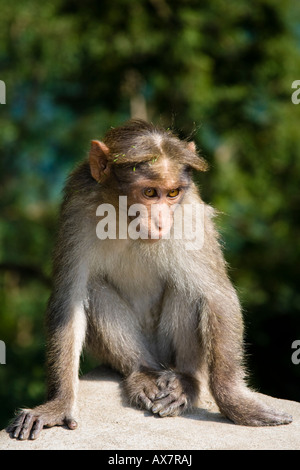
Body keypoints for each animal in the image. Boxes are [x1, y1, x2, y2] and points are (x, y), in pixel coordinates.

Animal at [8, 118, 292, 440]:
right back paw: (141, 372)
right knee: (95, 289)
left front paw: (235, 402)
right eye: (149, 193)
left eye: (172, 194)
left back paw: (186, 381)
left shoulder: (189, 212)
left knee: (188, 288)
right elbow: (69, 300)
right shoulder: (77, 209)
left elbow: (216, 295)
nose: (160, 221)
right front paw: (57, 404)